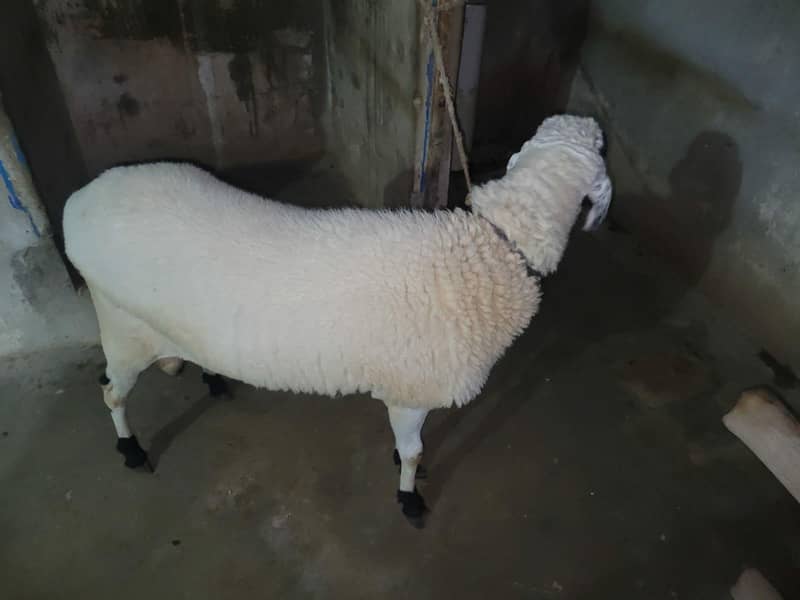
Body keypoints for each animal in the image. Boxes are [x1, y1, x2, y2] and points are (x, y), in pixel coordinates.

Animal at [63, 114, 612, 525]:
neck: (495, 247)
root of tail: (78, 201)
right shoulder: (413, 387)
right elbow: (414, 452)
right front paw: (409, 498)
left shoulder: (411, 391)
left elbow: (408, 446)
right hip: (121, 327)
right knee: (112, 393)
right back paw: (131, 449)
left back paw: (212, 378)